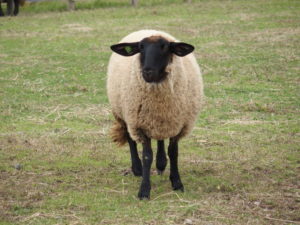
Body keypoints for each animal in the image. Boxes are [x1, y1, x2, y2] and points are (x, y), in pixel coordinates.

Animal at [106, 29, 204, 200]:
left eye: (165, 47)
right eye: (141, 47)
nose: (147, 71)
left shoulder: (177, 124)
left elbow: (173, 153)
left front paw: (177, 183)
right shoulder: (139, 125)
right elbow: (147, 156)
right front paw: (144, 190)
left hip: (160, 121)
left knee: (159, 139)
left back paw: (161, 164)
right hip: (125, 113)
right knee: (130, 139)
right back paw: (137, 169)